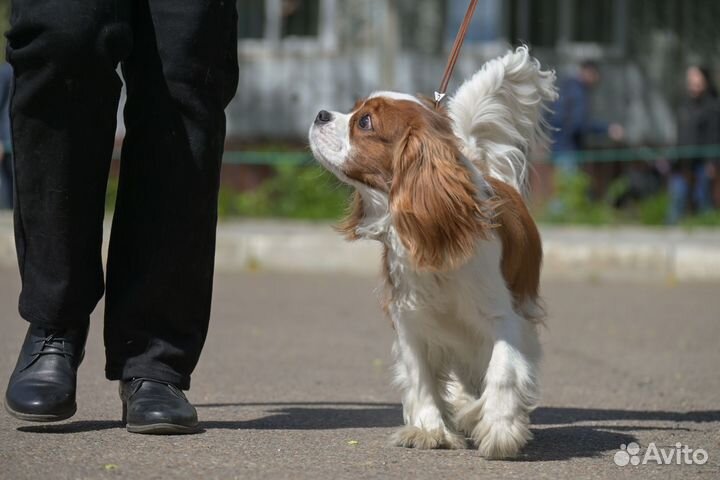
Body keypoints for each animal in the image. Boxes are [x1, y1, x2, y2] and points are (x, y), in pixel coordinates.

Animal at [308, 47, 556, 458]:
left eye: (364, 121)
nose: (321, 114)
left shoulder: (503, 316)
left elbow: (503, 370)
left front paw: (500, 426)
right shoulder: (411, 318)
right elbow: (421, 377)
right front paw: (428, 429)